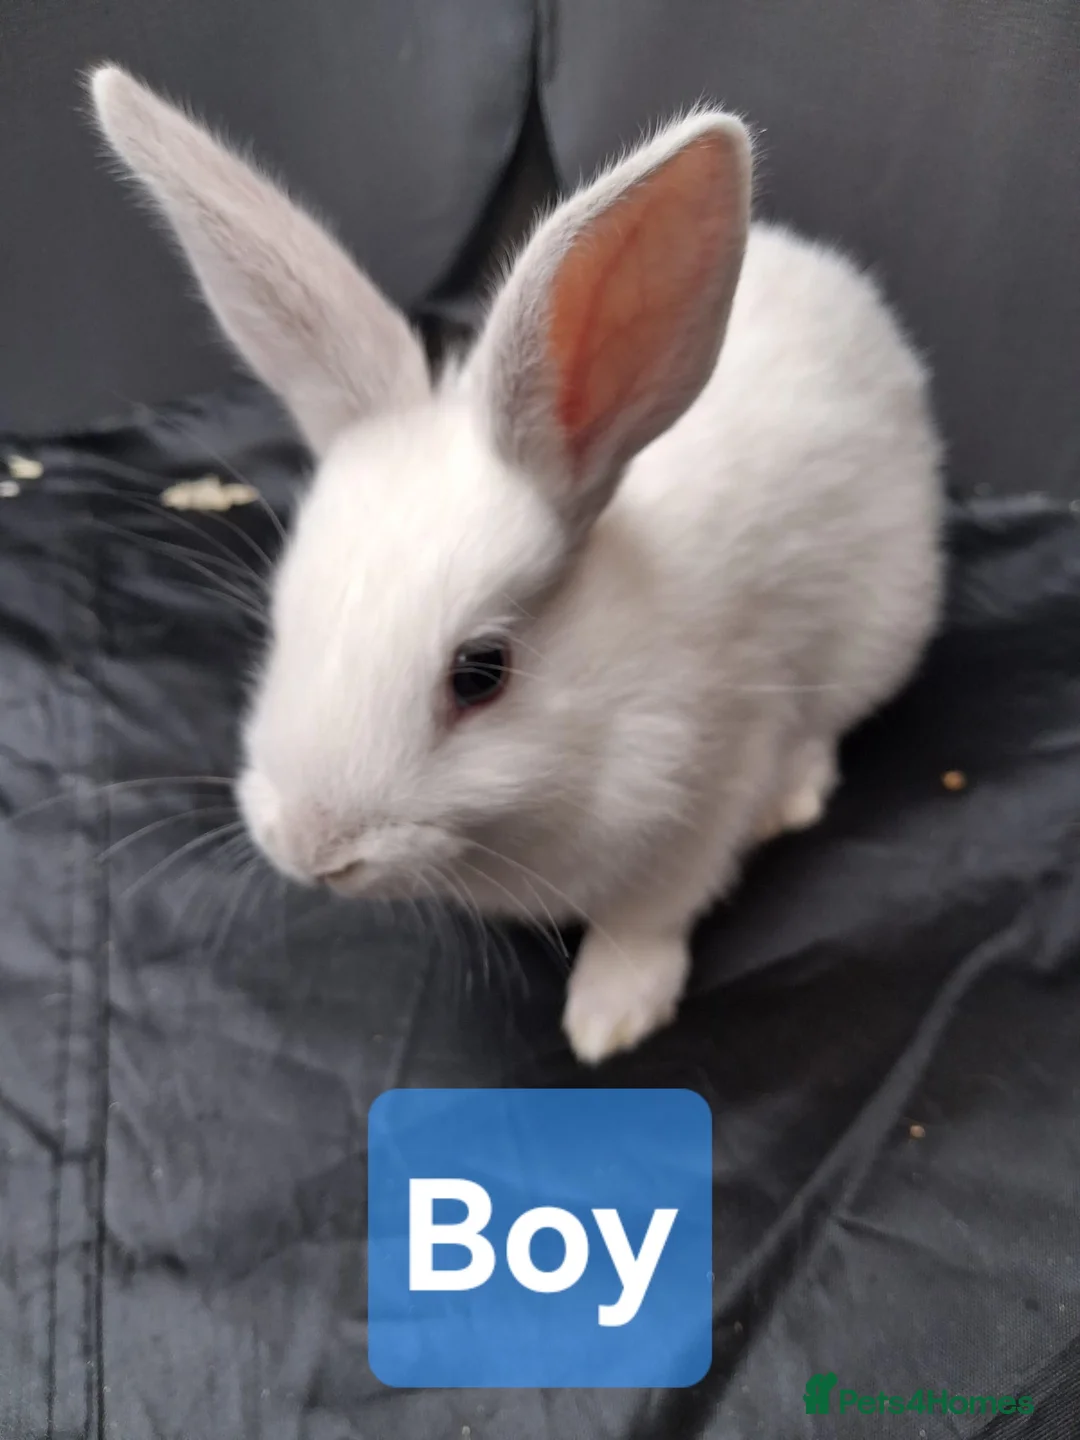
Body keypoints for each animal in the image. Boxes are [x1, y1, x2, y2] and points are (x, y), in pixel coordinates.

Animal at [90, 66, 943, 1065]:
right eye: (282, 625)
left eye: (481, 673)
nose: (312, 850)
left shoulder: (710, 789)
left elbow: (649, 920)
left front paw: (610, 1017)